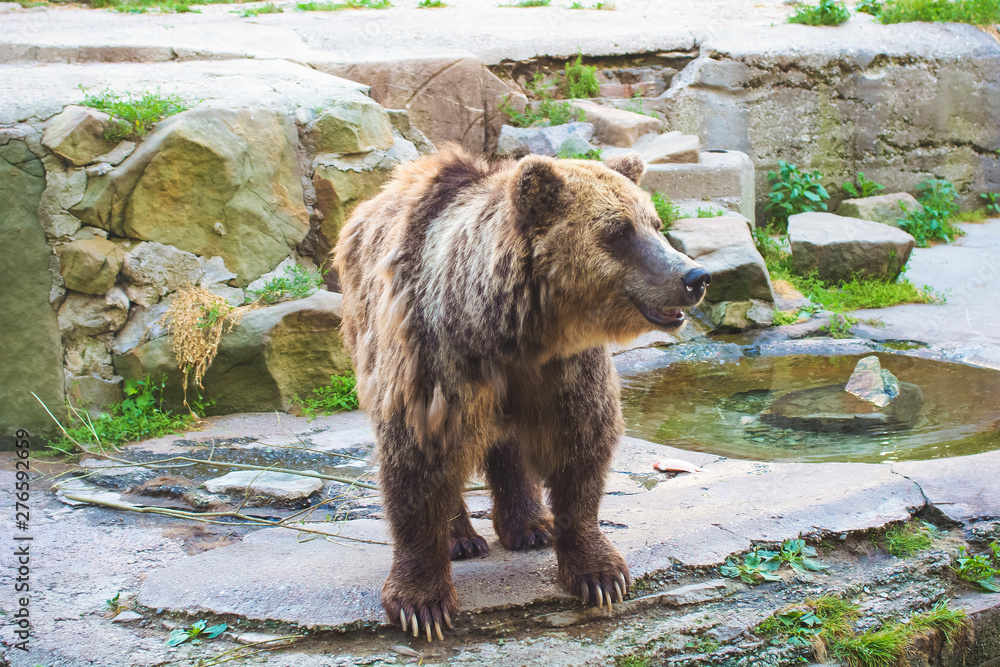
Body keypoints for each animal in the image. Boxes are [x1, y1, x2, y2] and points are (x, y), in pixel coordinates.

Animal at [333, 145, 710, 641]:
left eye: (655, 223)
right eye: (619, 231)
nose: (695, 276)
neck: (514, 332)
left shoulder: (563, 368)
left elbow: (582, 447)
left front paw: (600, 574)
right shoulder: (433, 362)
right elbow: (417, 461)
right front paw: (422, 605)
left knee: (509, 444)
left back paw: (531, 526)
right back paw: (461, 538)